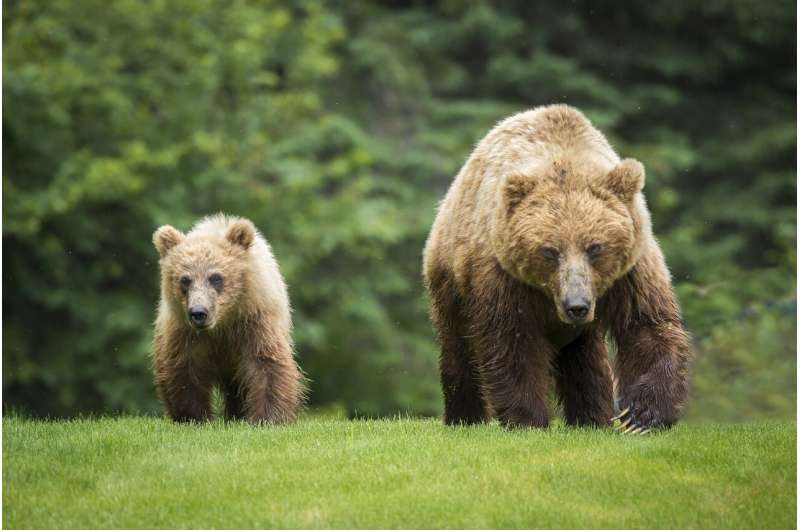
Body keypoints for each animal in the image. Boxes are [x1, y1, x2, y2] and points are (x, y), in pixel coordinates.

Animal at [151, 214, 305, 424]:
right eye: (185, 280)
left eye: (216, 277)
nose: (199, 312)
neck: (223, 322)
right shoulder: (185, 332)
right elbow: (185, 370)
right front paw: (194, 417)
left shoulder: (254, 321)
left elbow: (266, 363)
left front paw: (268, 418)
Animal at [423, 104, 693, 433]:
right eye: (550, 251)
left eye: (594, 247)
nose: (576, 305)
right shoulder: (504, 278)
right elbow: (513, 344)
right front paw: (527, 419)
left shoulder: (630, 272)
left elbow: (647, 325)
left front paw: (641, 416)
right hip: (451, 278)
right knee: (458, 348)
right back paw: (464, 417)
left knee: (586, 360)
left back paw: (592, 417)